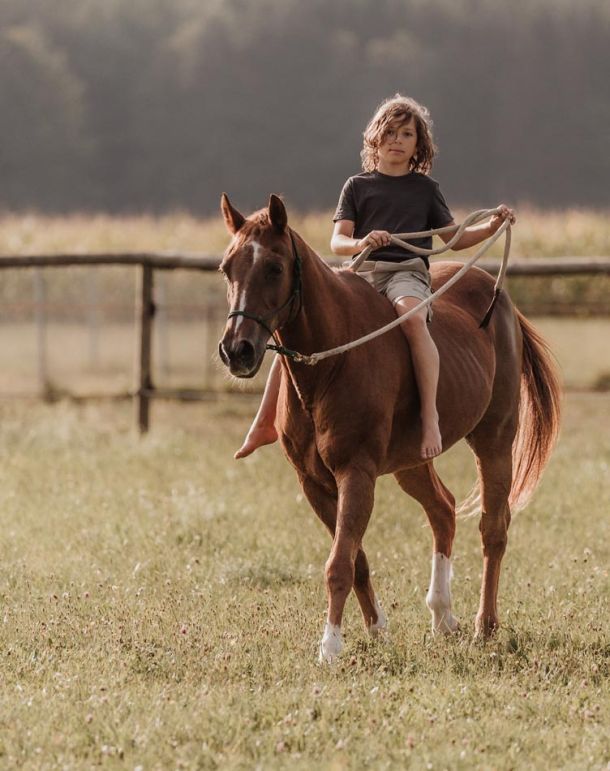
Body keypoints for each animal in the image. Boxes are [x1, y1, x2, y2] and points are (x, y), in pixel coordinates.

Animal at [216, 193, 560, 664]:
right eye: (226, 267)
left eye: (274, 267)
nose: (237, 350)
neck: (332, 362)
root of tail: (499, 297)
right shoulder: (314, 483)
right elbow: (355, 558)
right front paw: (377, 630)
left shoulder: (356, 473)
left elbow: (339, 563)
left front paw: (330, 647)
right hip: (411, 462)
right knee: (443, 510)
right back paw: (442, 615)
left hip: (494, 439)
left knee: (493, 528)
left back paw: (484, 626)